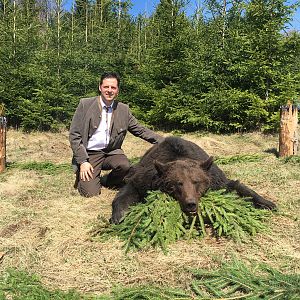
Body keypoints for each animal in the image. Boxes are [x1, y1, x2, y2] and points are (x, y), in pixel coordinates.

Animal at [110, 136, 276, 223]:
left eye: (196, 182)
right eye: (177, 184)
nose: (191, 204)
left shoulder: (215, 178)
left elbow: (235, 185)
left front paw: (268, 203)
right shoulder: (145, 178)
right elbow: (129, 190)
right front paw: (119, 216)